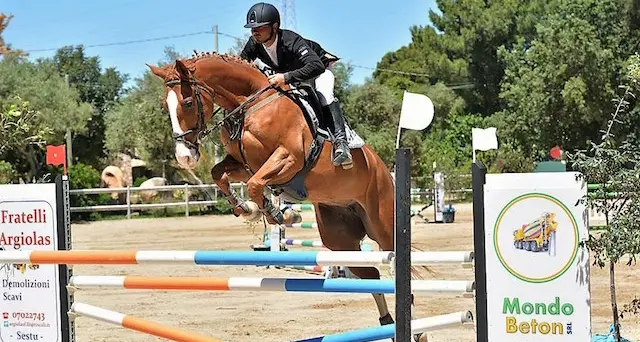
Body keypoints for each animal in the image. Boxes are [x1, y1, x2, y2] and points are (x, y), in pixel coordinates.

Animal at [145, 52, 424, 340]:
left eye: (188, 102)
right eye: (165, 105)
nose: (184, 157)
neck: (249, 105)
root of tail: (383, 168)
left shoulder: (288, 158)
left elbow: (256, 184)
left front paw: (278, 213)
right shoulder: (243, 164)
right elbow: (220, 174)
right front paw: (248, 209)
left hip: (383, 223)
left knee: (395, 263)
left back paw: (416, 331)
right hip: (339, 238)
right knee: (371, 275)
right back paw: (388, 323)